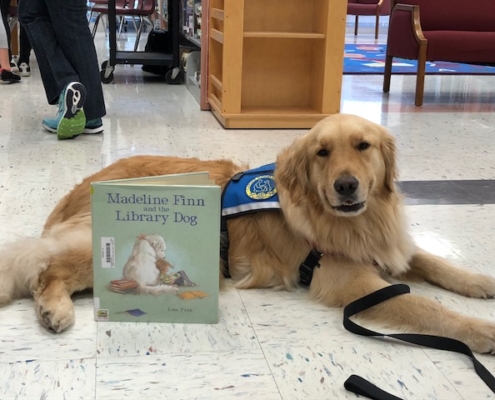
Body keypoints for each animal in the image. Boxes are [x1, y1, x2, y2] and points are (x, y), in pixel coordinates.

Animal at [0, 112, 495, 354]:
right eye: (322, 152)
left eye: (363, 146)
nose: (346, 185)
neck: (357, 221)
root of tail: (82, 185)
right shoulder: (350, 279)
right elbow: (425, 305)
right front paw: (479, 330)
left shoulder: (390, 247)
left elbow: (433, 261)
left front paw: (479, 282)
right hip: (94, 242)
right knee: (44, 269)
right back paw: (54, 310)